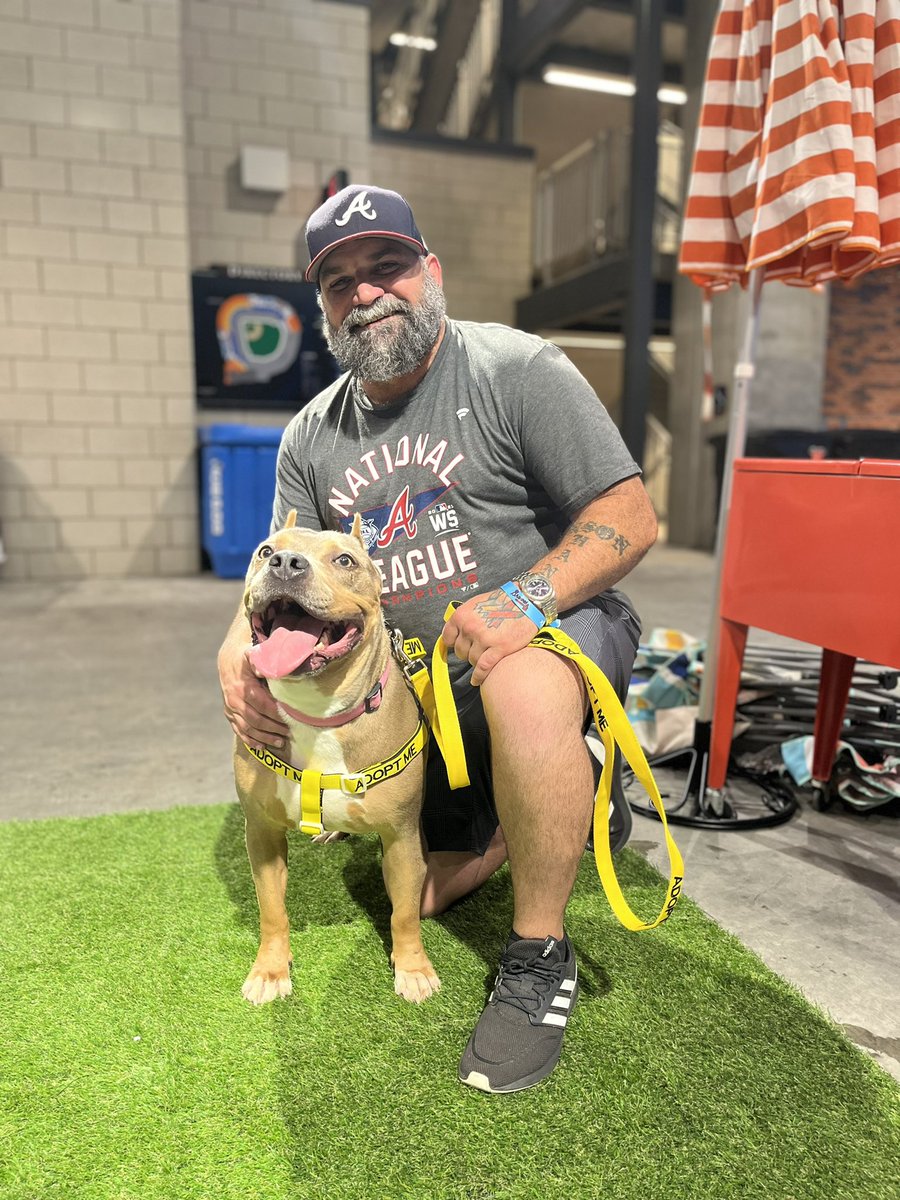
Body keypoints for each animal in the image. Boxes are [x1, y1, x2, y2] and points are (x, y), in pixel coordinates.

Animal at [234, 511, 441, 1008]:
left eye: (345, 560)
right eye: (265, 551)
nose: (287, 563)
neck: (319, 712)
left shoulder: (402, 838)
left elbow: (404, 913)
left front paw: (412, 969)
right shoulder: (262, 834)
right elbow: (272, 910)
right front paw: (270, 970)